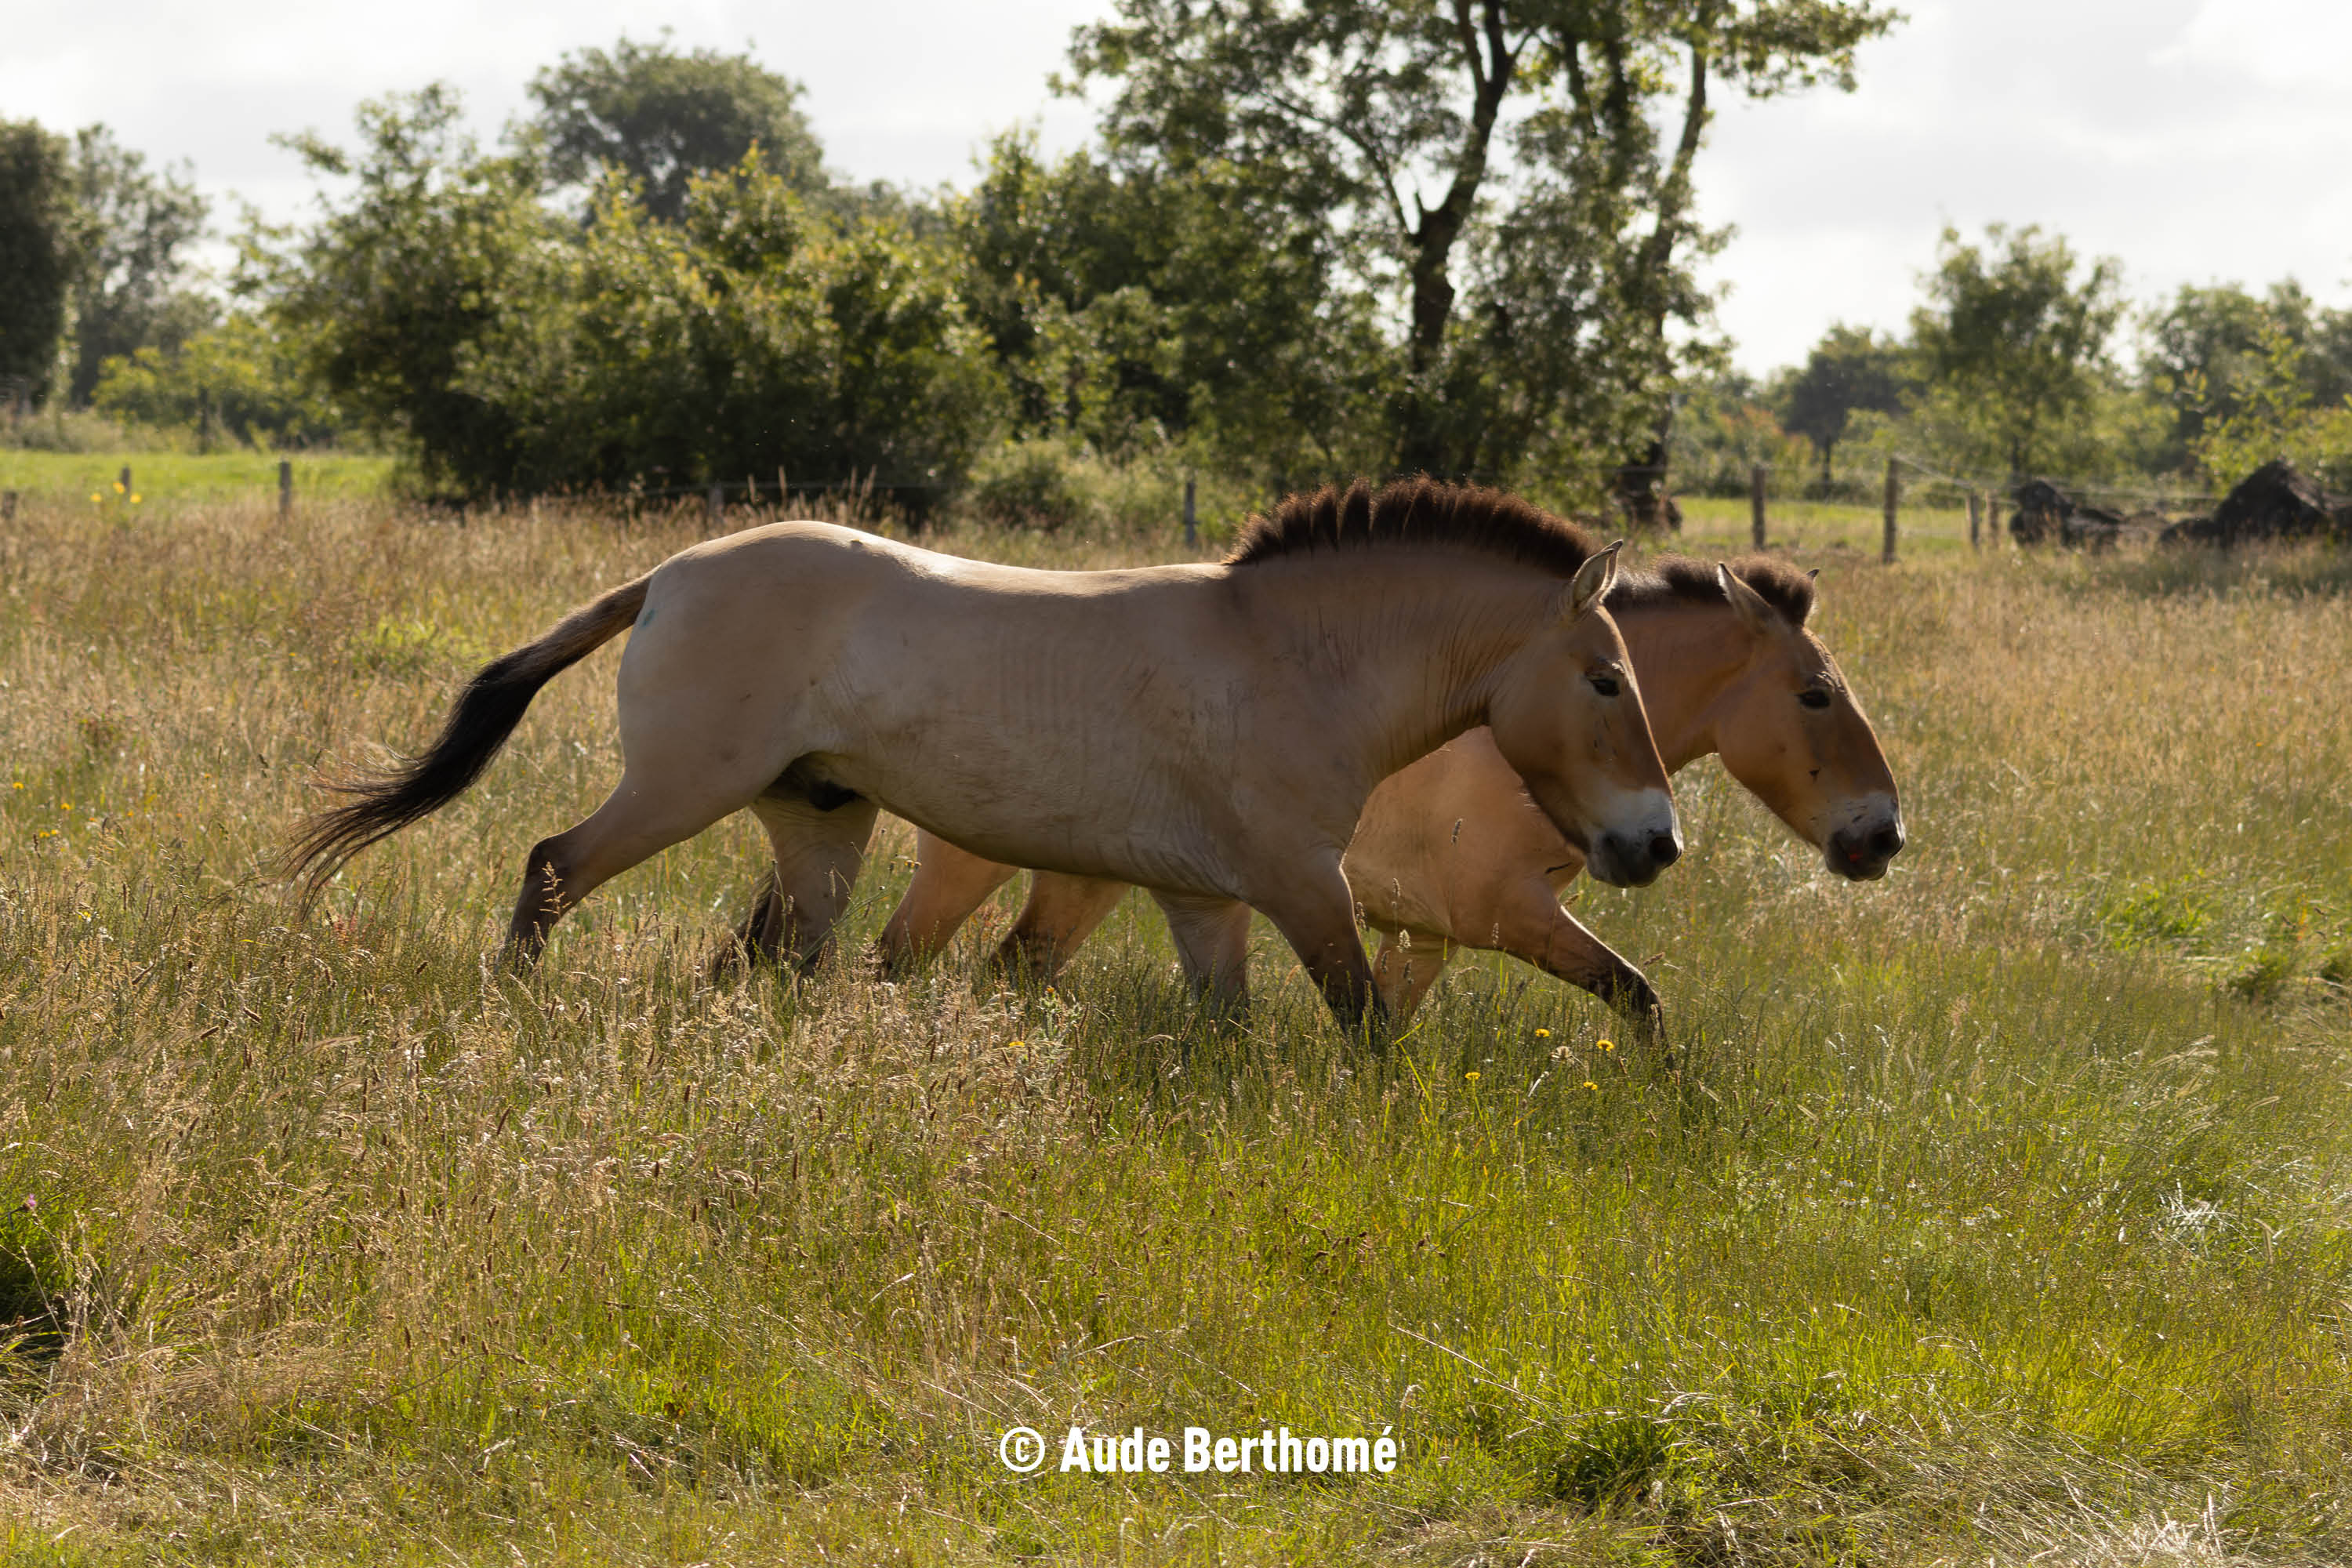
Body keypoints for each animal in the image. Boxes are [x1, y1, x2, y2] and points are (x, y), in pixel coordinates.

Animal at [287, 478, 1682, 1027]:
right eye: (1608, 679)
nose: (1656, 845)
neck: (1291, 659)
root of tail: (670, 576)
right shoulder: (1303, 886)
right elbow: (1365, 1027)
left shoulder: (1206, 901)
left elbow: (1230, 1031)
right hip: (679, 792)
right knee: (553, 869)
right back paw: (508, 1007)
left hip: (818, 820)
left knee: (780, 958)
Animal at [808, 555, 1899, 1031]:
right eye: (1816, 694)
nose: (1881, 833)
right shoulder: (1506, 913)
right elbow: (1637, 994)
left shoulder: (1425, 934)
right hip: (994, 870)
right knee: (911, 961)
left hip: (1082, 880)